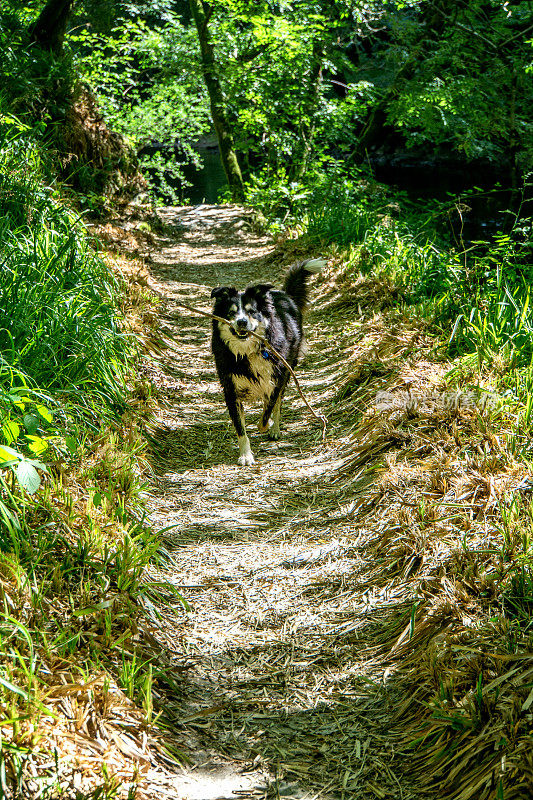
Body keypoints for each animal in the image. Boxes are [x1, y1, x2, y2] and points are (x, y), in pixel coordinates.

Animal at [210, 260, 322, 466]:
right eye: (231, 313)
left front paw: (267, 424)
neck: (247, 352)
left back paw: (274, 428)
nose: (242, 322)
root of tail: (284, 294)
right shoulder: (230, 387)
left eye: (252, 311)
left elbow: (269, 407)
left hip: (288, 368)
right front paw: (246, 455)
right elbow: (240, 427)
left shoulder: (277, 377)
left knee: (277, 403)